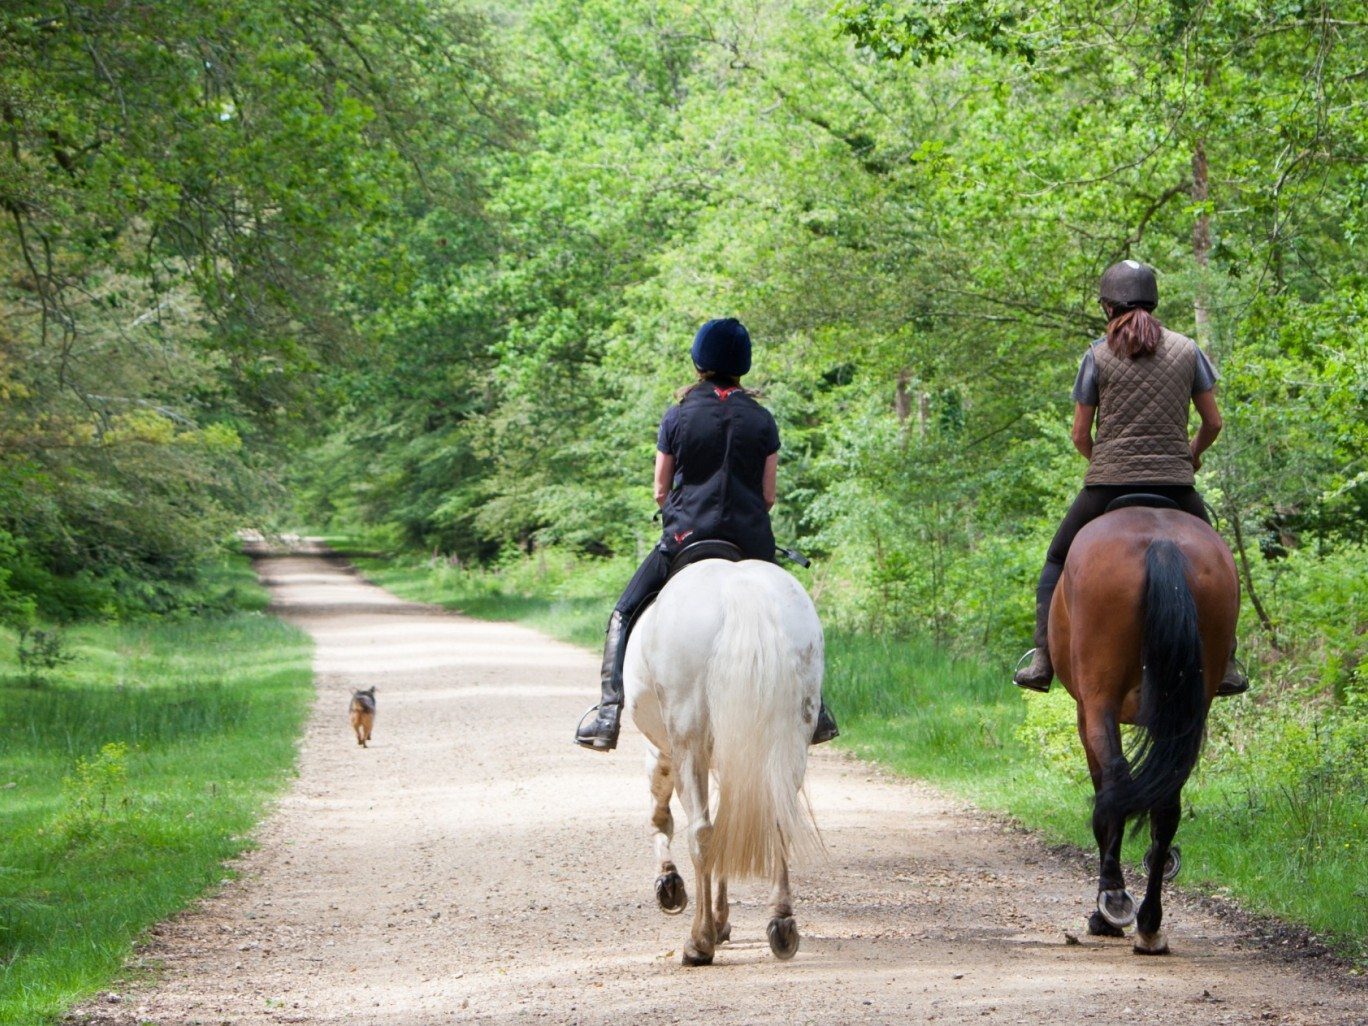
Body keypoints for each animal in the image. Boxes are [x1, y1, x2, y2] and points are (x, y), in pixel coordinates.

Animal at [623, 558, 820, 968]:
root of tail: (740, 589)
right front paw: (721, 918)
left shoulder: (661, 750)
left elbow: (659, 816)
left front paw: (670, 886)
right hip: (790, 740)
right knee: (776, 818)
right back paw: (782, 925)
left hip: (688, 742)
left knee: (701, 832)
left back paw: (699, 943)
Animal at [1045, 503, 1242, 963]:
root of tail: (1162, 543)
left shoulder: (1085, 711)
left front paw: (1105, 909)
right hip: (1191, 703)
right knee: (1167, 804)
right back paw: (1150, 923)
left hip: (1099, 698)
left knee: (1115, 786)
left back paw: (1114, 902)